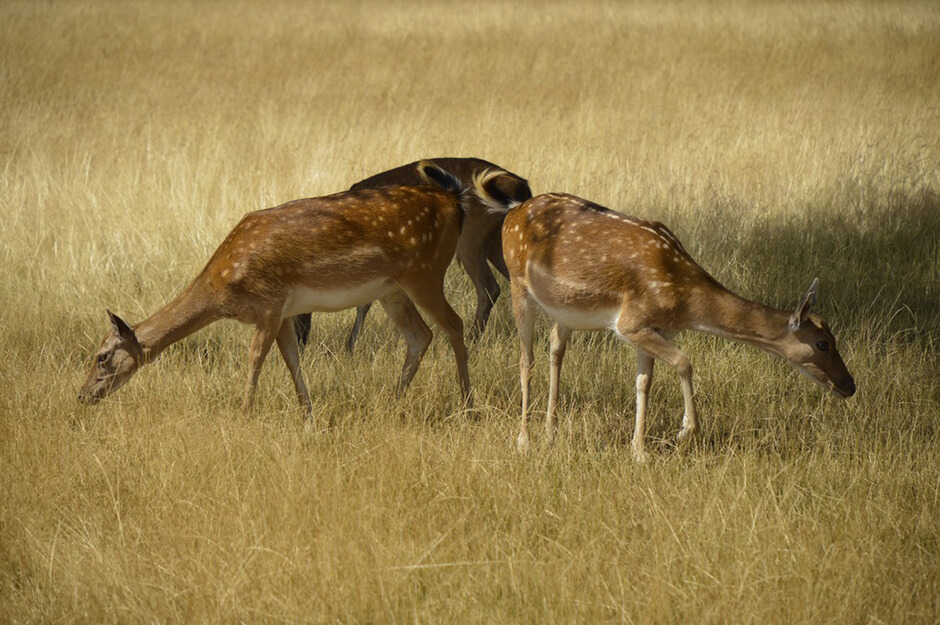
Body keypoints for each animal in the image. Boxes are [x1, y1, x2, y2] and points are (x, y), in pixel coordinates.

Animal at [77, 161, 482, 424]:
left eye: (101, 356)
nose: (82, 395)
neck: (222, 287)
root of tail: (455, 203)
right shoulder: (287, 312)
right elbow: (292, 361)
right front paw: (309, 418)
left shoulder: (269, 303)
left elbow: (255, 358)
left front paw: (243, 417)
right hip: (391, 289)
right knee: (420, 335)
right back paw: (392, 404)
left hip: (425, 272)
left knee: (454, 325)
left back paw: (468, 408)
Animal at [294, 156, 532, 352]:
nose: (300, 342)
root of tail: (520, 186)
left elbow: (366, 302)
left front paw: (351, 348)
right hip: (498, 241)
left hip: (470, 239)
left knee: (488, 287)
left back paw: (472, 341)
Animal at [504, 193, 856, 460]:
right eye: (822, 343)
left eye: (834, 337)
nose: (850, 386)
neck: (685, 303)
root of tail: (513, 212)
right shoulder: (631, 323)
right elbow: (685, 362)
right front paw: (685, 430)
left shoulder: (654, 329)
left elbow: (643, 382)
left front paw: (639, 451)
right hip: (517, 283)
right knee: (526, 359)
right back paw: (524, 440)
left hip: (566, 312)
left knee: (555, 345)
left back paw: (550, 432)